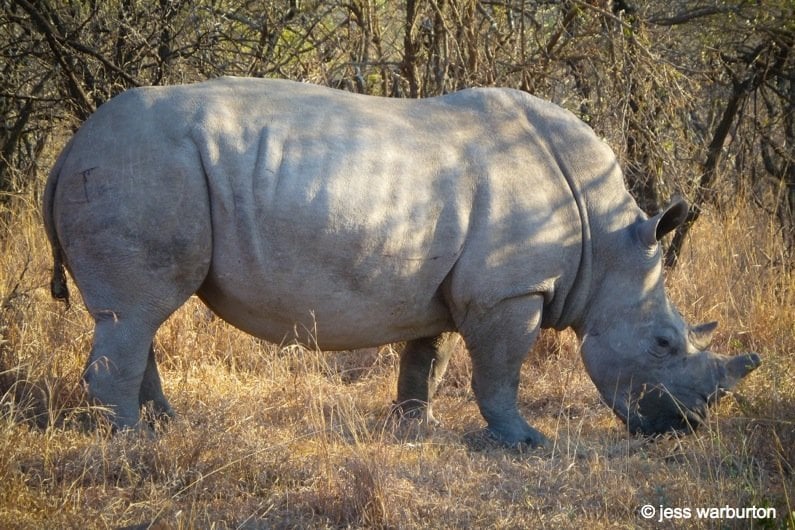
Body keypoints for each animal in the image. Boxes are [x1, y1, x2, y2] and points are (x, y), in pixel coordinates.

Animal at [42, 76, 760, 444]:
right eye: (664, 343)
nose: (687, 428)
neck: (607, 244)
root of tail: (70, 147)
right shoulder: (511, 291)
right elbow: (499, 371)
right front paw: (524, 442)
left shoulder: (444, 287)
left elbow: (427, 359)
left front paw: (415, 427)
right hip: (142, 167)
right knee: (136, 311)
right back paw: (132, 443)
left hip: (140, 168)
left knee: (136, 316)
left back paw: (166, 425)